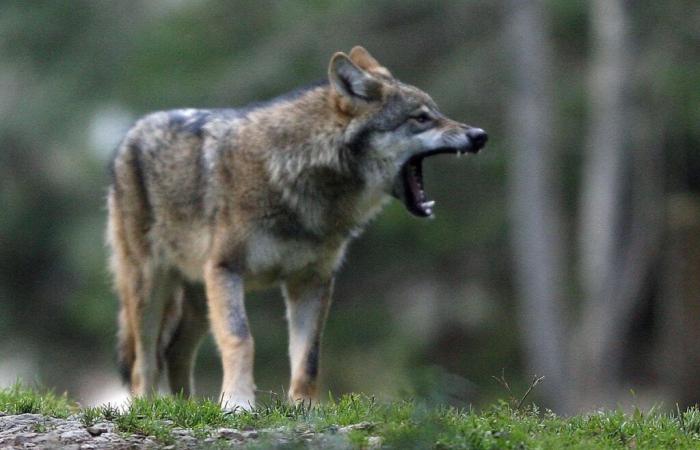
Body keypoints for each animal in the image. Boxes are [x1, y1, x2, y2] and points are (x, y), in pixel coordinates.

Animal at [106, 46, 486, 412]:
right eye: (420, 118)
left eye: (436, 112)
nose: (480, 135)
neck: (297, 176)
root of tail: (132, 131)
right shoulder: (226, 269)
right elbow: (241, 339)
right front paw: (238, 403)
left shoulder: (312, 281)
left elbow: (309, 357)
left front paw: (304, 408)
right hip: (150, 289)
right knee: (144, 361)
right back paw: (149, 406)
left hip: (198, 301)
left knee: (173, 352)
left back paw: (188, 406)